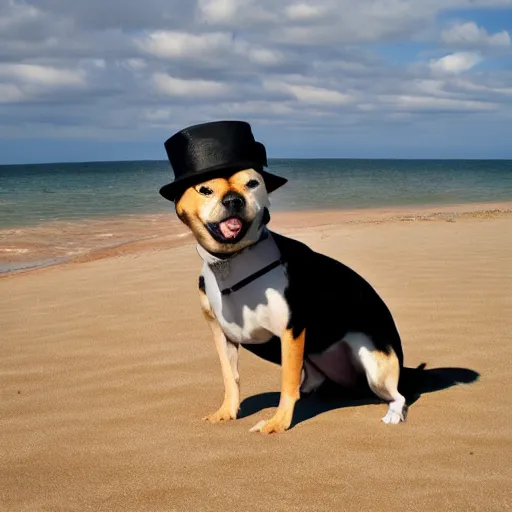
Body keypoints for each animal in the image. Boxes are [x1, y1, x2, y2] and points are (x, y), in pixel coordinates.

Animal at [160, 122, 408, 434]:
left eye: (252, 184)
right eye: (205, 189)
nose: (233, 200)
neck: (233, 261)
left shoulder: (291, 331)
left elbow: (287, 382)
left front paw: (278, 422)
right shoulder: (222, 335)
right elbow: (230, 377)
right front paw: (227, 412)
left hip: (374, 362)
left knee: (398, 394)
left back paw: (393, 412)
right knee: (313, 379)